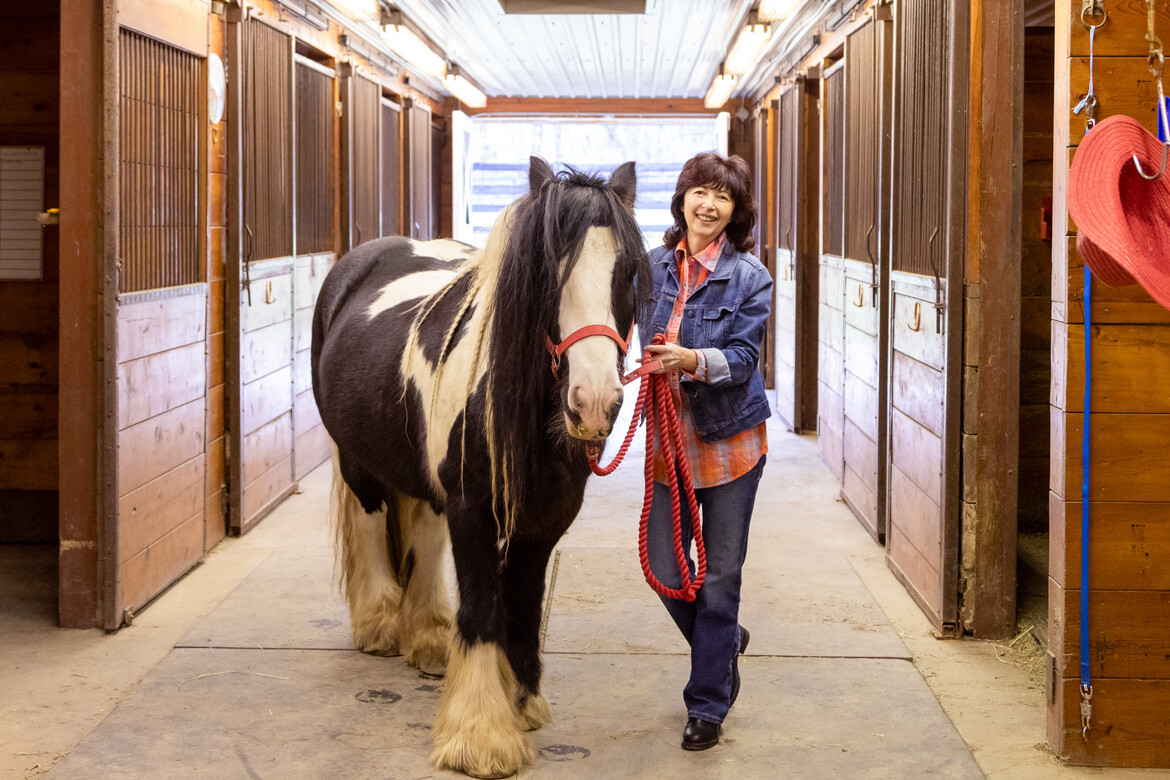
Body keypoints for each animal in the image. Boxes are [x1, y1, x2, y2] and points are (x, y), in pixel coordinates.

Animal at [311, 155, 650, 776]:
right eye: (545, 273)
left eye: (629, 271)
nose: (593, 403)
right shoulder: (472, 510)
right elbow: (483, 607)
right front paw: (480, 735)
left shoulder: (546, 518)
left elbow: (522, 604)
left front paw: (521, 702)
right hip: (357, 461)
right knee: (372, 520)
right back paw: (379, 626)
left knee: (421, 530)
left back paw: (427, 638)